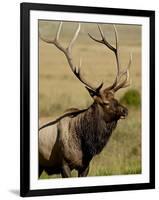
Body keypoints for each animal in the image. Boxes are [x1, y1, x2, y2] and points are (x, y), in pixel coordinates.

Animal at [38, 22, 132, 178]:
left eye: (116, 98)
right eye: (105, 103)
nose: (125, 110)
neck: (85, 146)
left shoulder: (85, 166)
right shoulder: (64, 164)